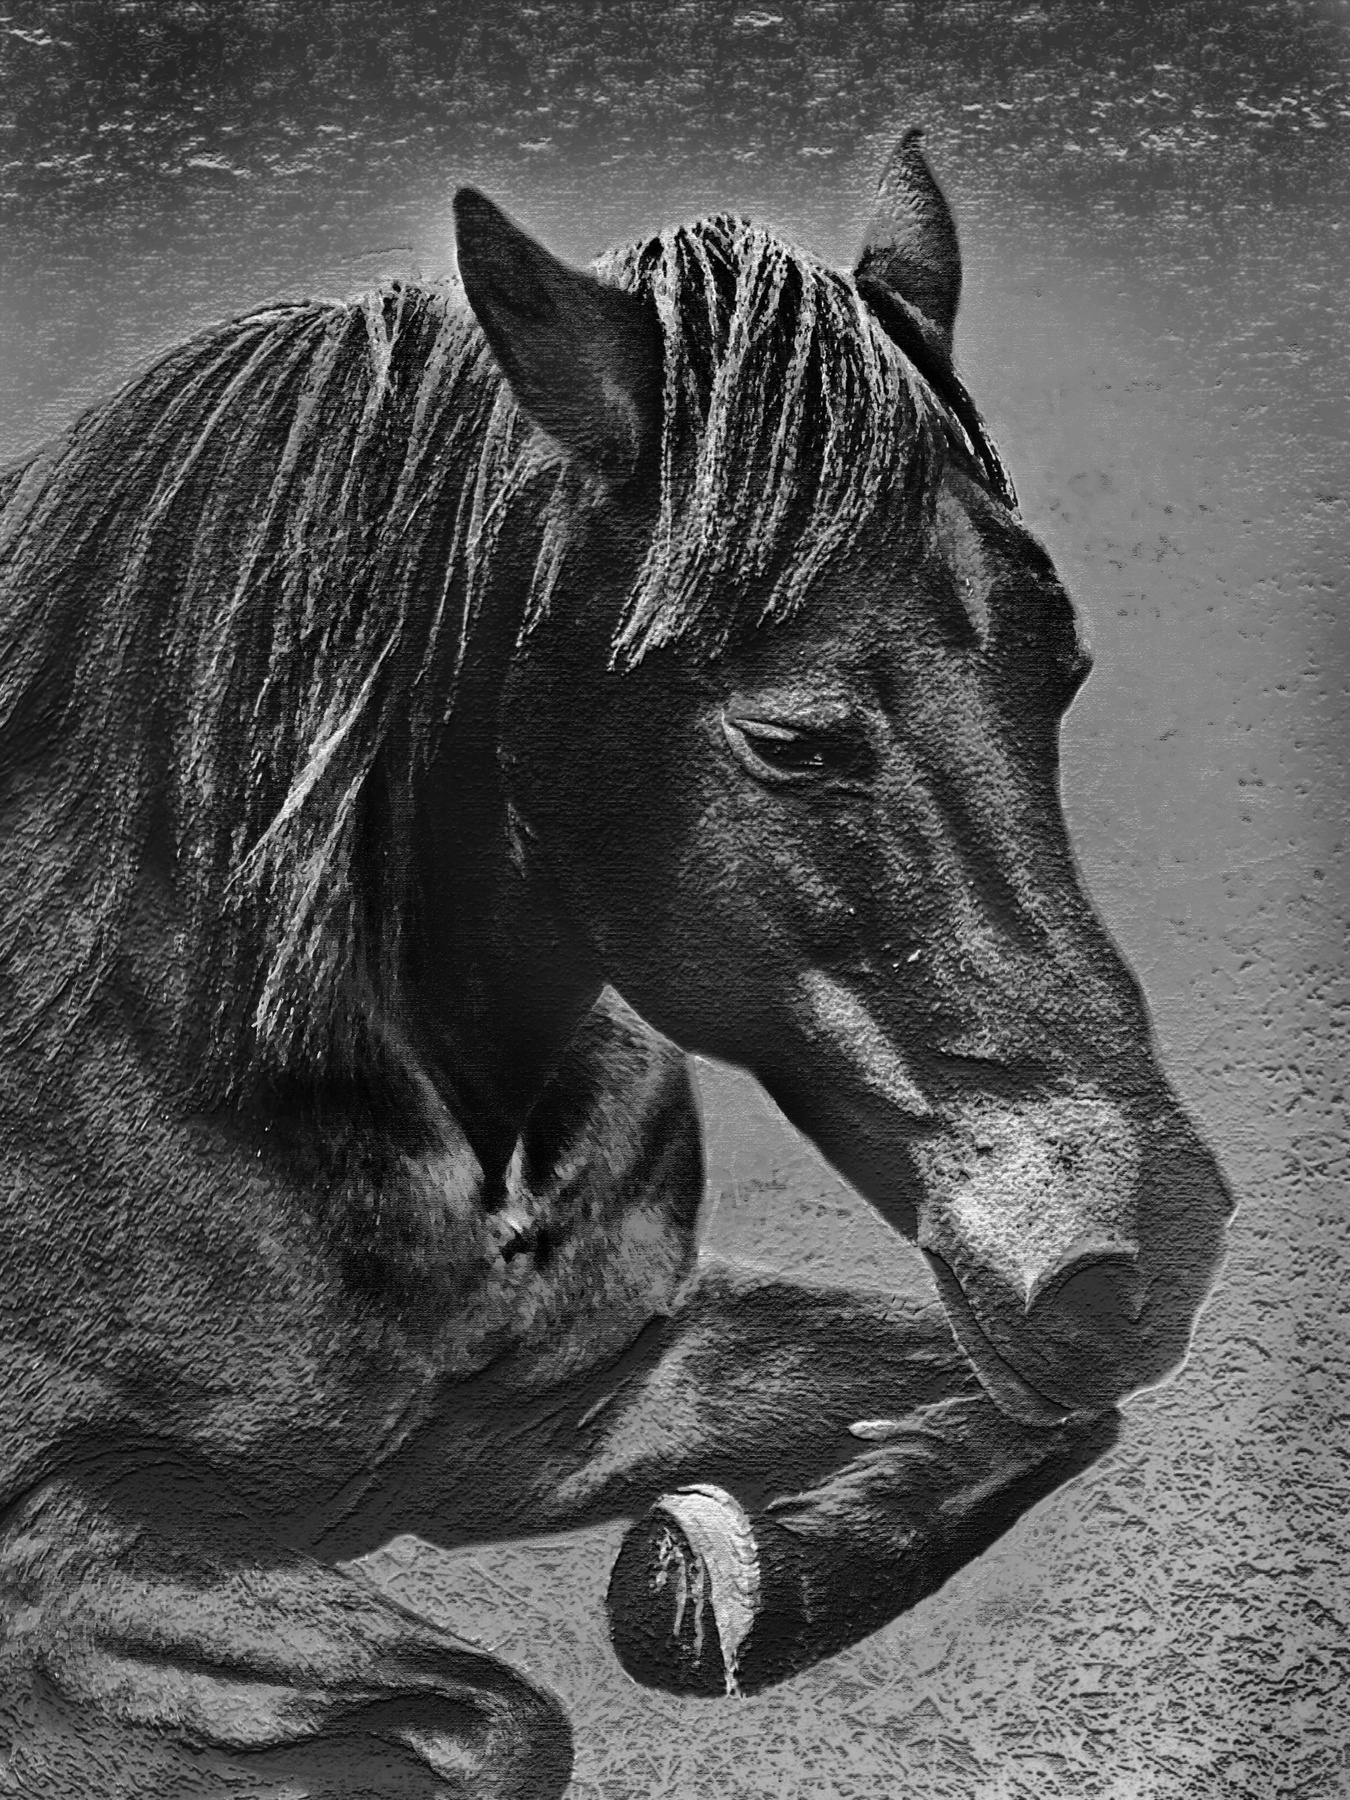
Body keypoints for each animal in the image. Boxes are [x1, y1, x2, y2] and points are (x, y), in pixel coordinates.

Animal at [0, 130, 1232, 1797]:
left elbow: (1028, 1420)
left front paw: (710, 1579)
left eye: (1062, 674)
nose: (1146, 1258)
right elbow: (501, 1718)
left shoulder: (563, 1413)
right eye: (788, 739)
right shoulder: (62, 1541)